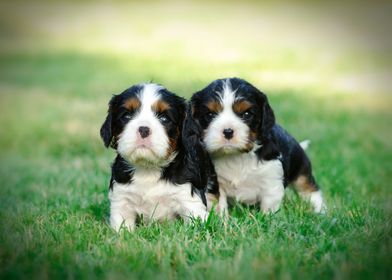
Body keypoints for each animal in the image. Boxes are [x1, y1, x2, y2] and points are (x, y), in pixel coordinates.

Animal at [99, 83, 219, 232]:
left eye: (164, 118)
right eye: (126, 116)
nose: (144, 129)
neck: (148, 168)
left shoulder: (189, 199)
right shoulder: (121, 200)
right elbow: (121, 228)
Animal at [188, 77, 326, 215]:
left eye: (247, 114)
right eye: (210, 115)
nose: (228, 131)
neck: (237, 157)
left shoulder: (271, 183)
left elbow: (269, 208)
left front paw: (267, 218)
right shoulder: (216, 184)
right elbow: (220, 205)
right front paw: (223, 219)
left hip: (301, 170)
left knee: (309, 189)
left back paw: (320, 210)